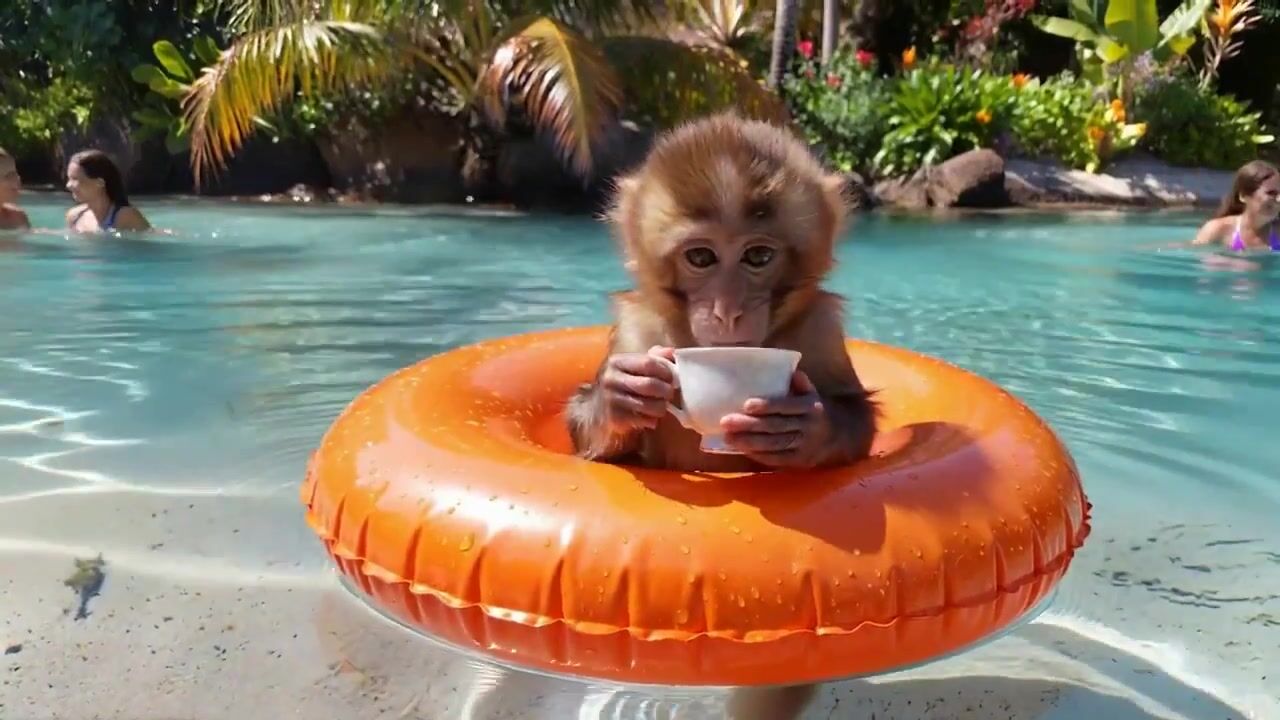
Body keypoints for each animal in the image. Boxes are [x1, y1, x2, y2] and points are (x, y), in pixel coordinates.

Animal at [566, 112, 878, 472]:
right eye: (701, 257)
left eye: (758, 256)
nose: (727, 310)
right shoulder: (636, 328)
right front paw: (618, 396)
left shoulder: (821, 324)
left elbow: (856, 414)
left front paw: (806, 425)